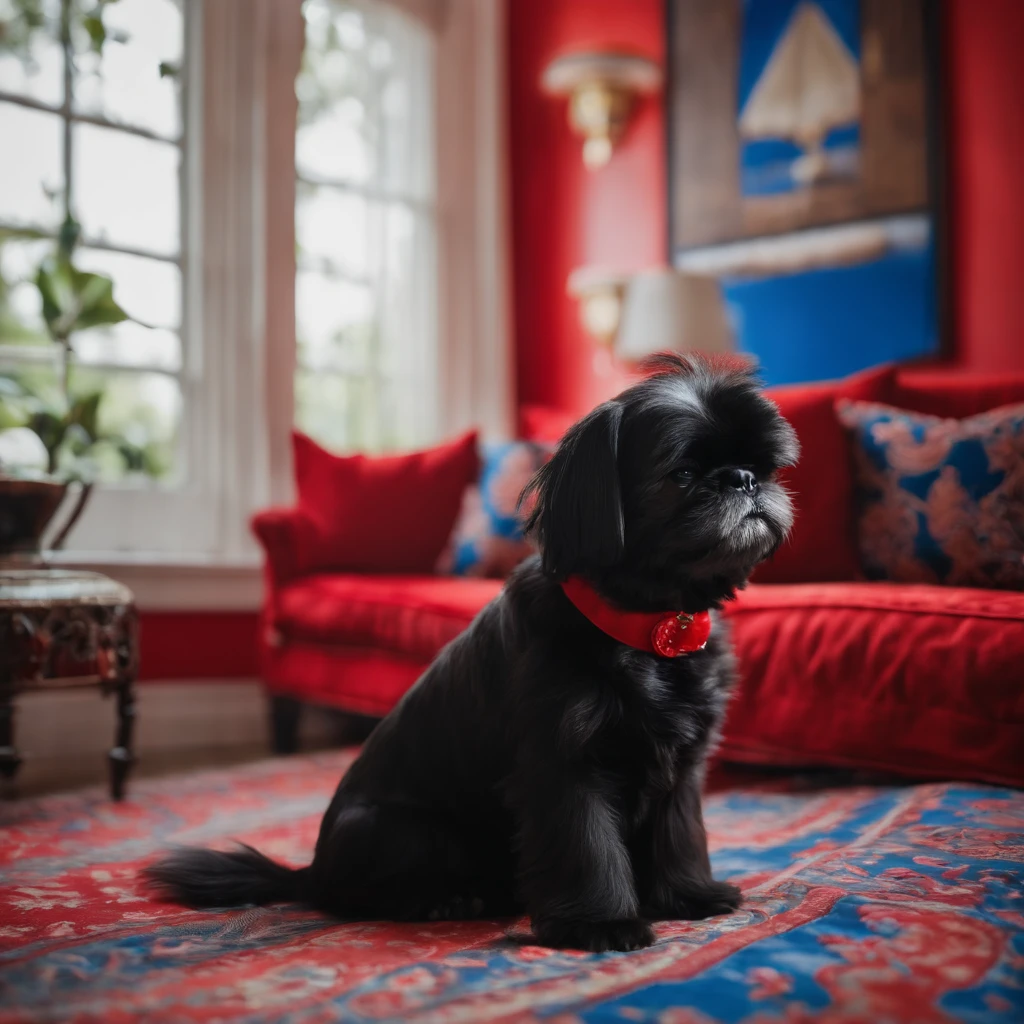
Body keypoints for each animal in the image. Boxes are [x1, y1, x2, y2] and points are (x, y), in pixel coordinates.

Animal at [146, 354, 798, 950]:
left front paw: (686, 896)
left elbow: (678, 833)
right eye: (682, 473)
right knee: (355, 897)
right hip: (399, 829)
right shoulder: (565, 766)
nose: (742, 478)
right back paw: (446, 901)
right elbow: (588, 847)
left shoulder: (682, 766)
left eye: (764, 464)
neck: (648, 626)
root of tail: (309, 872)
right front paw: (600, 925)